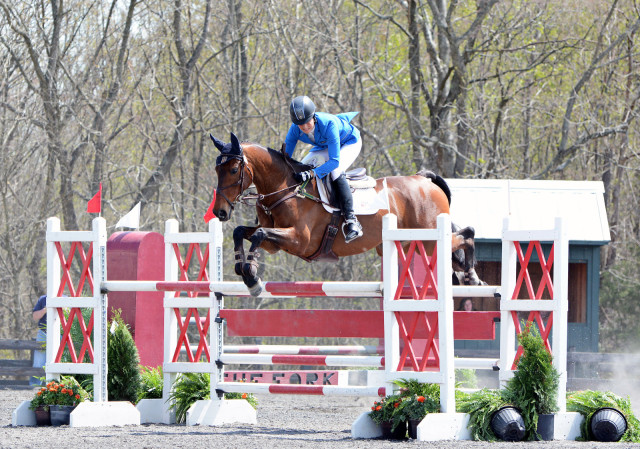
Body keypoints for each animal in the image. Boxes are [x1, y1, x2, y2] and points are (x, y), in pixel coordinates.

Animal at [210, 131, 480, 296]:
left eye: (233, 170)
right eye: (217, 170)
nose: (219, 212)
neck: (285, 189)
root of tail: (423, 180)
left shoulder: (299, 240)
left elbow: (258, 235)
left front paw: (251, 276)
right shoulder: (275, 244)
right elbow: (241, 232)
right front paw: (242, 268)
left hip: (429, 237)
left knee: (467, 234)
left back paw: (472, 276)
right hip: (409, 243)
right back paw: (467, 277)